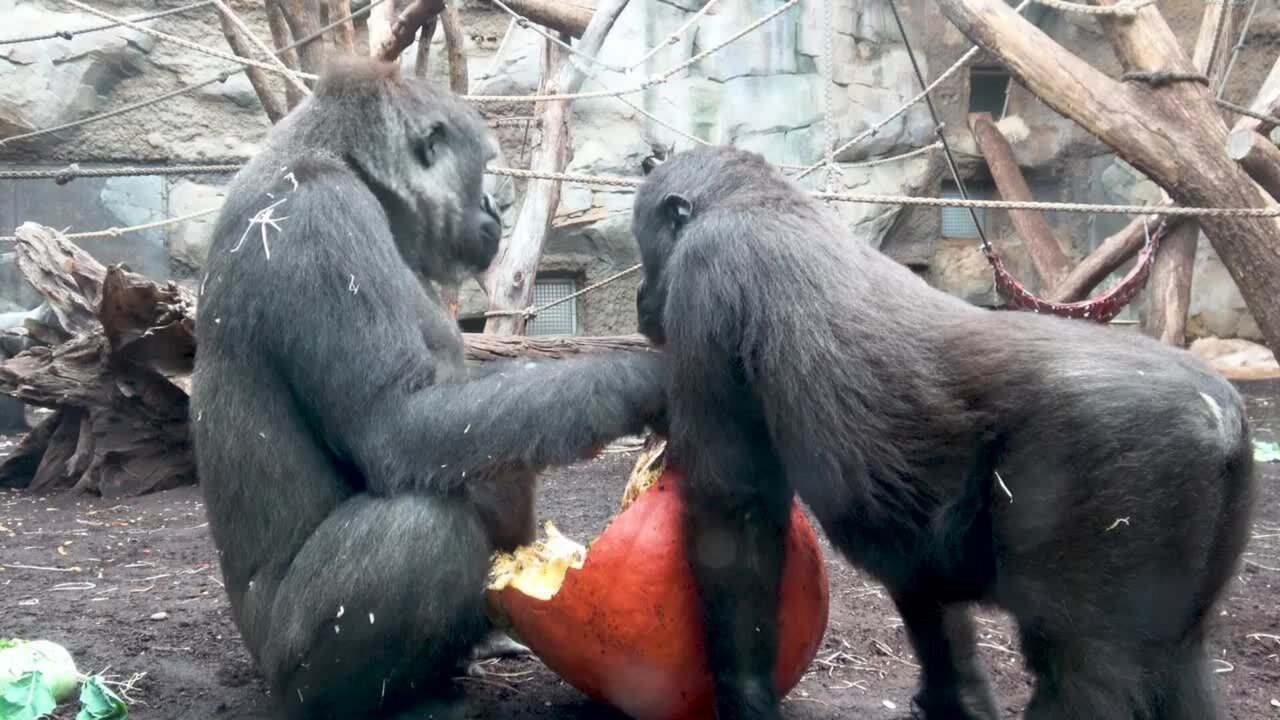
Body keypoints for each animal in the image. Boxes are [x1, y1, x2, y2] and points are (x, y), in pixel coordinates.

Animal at [189, 56, 666, 720]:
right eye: (484, 167)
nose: (493, 203)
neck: (337, 155)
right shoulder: (317, 216)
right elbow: (400, 423)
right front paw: (635, 381)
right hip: (277, 661)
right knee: (421, 529)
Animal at [630, 145, 1256, 720]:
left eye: (644, 252)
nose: (639, 299)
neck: (760, 197)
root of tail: (1219, 415)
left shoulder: (707, 272)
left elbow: (734, 507)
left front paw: (745, 698)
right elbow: (927, 599)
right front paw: (957, 699)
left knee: (1084, 670)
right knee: (1178, 662)